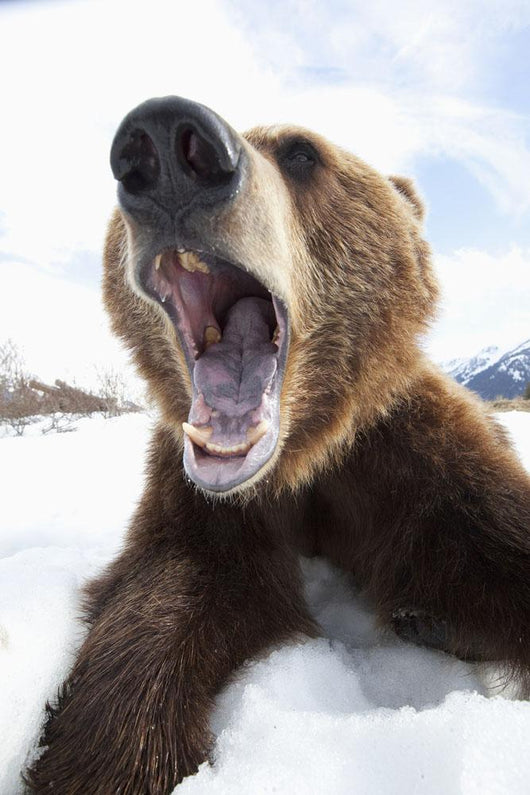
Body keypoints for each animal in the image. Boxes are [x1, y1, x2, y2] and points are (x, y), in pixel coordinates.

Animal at [26, 96, 530, 794]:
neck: (300, 460)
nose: (167, 144)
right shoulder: (206, 500)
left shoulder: (408, 455)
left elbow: (496, 539)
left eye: (301, 153)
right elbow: (166, 602)